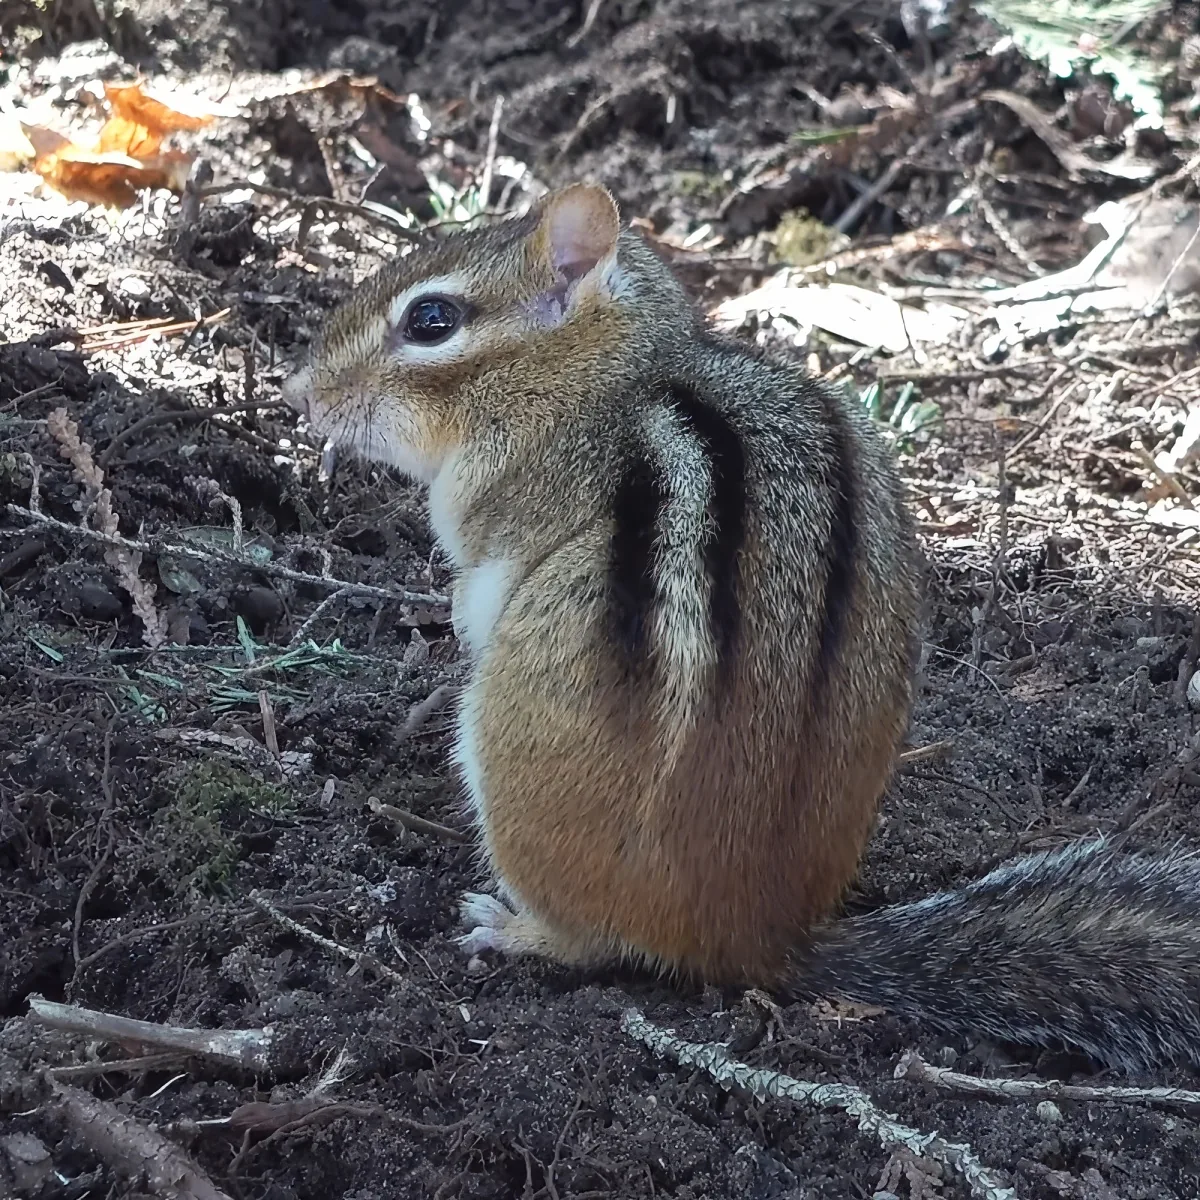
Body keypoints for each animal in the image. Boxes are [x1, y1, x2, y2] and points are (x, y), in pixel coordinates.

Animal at [284, 182, 1200, 1073]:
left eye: (431, 321)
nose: (299, 394)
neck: (608, 371)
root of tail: (757, 936)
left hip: (503, 746)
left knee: (589, 943)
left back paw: (512, 928)